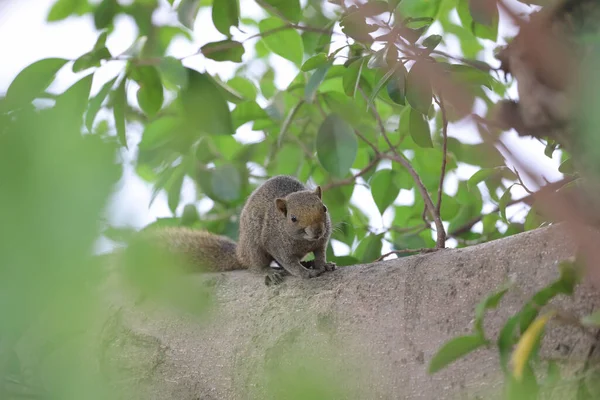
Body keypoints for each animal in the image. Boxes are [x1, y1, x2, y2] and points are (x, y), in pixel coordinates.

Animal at [148, 175, 336, 284]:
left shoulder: (321, 242)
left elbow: (320, 253)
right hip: (254, 247)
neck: (304, 242)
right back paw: (268, 272)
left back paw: (307, 262)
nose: (317, 231)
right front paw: (304, 273)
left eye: (324, 208)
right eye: (293, 218)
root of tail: (240, 253)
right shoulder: (275, 244)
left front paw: (323, 265)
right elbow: (289, 263)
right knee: (255, 266)